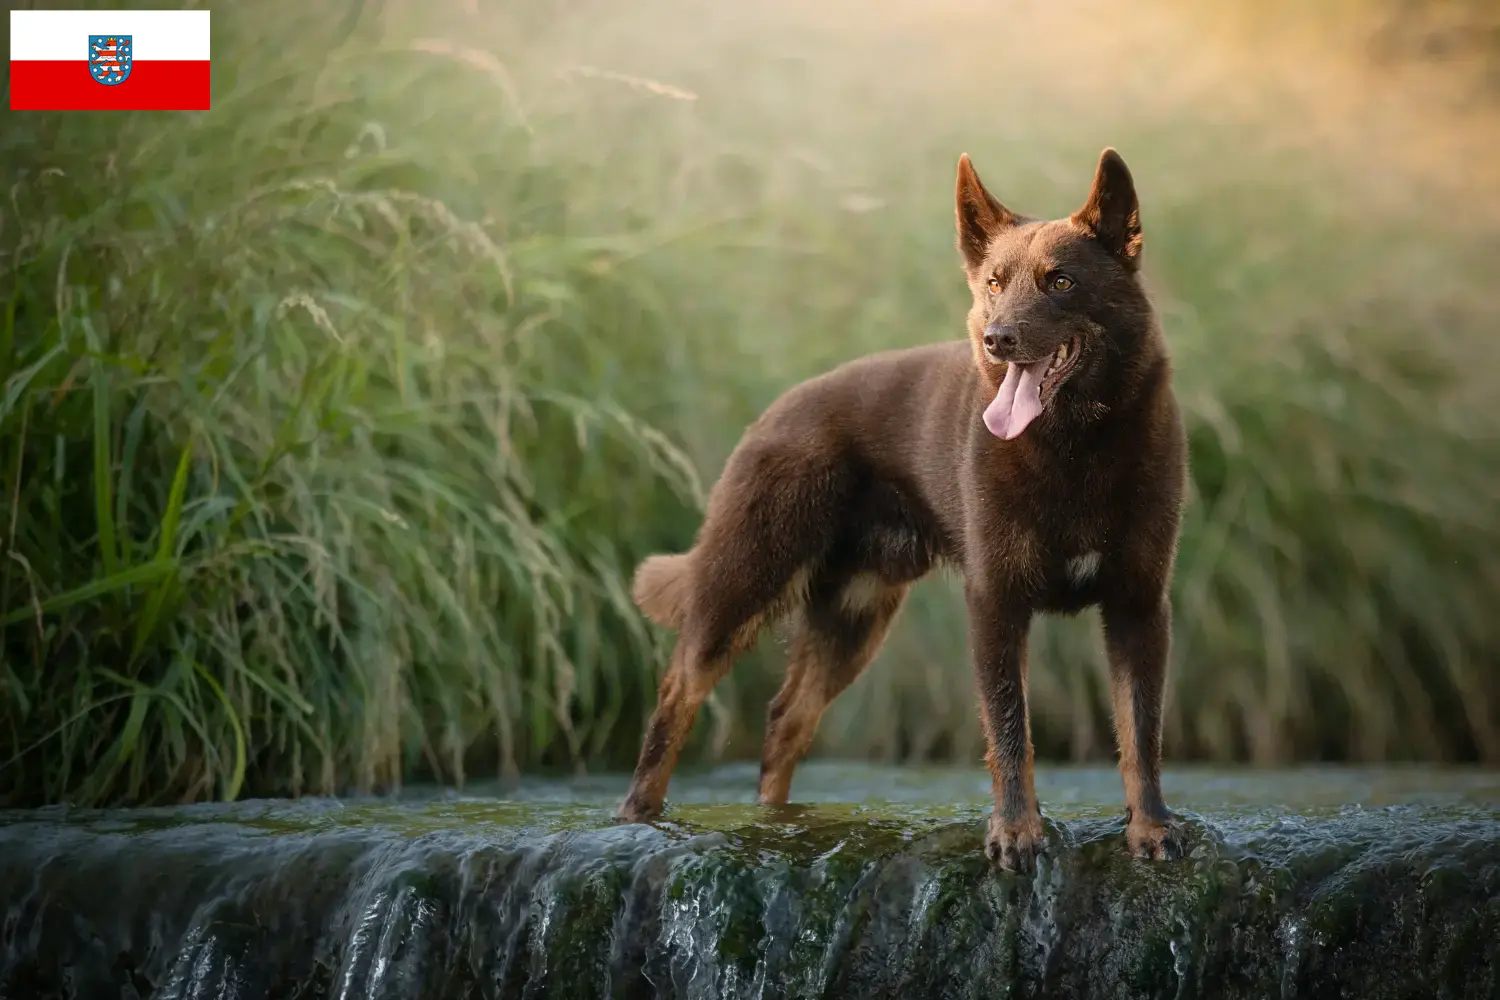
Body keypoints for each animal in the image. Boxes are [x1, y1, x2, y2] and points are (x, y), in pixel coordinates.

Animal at [615, 146, 1188, 869]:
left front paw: (1150, 828)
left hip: (853, 620)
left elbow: (1142, 733)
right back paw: (639, 816)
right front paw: (1015, 832)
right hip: (742, 584)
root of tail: (775, 410)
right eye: (995, 282)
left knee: (785, 720)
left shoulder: (1138, 607)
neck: (1074, 447)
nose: (998, 338)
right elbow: (1010, 731)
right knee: (679, 692)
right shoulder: (996, 604)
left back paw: (778, 822)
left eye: (1060, 282)